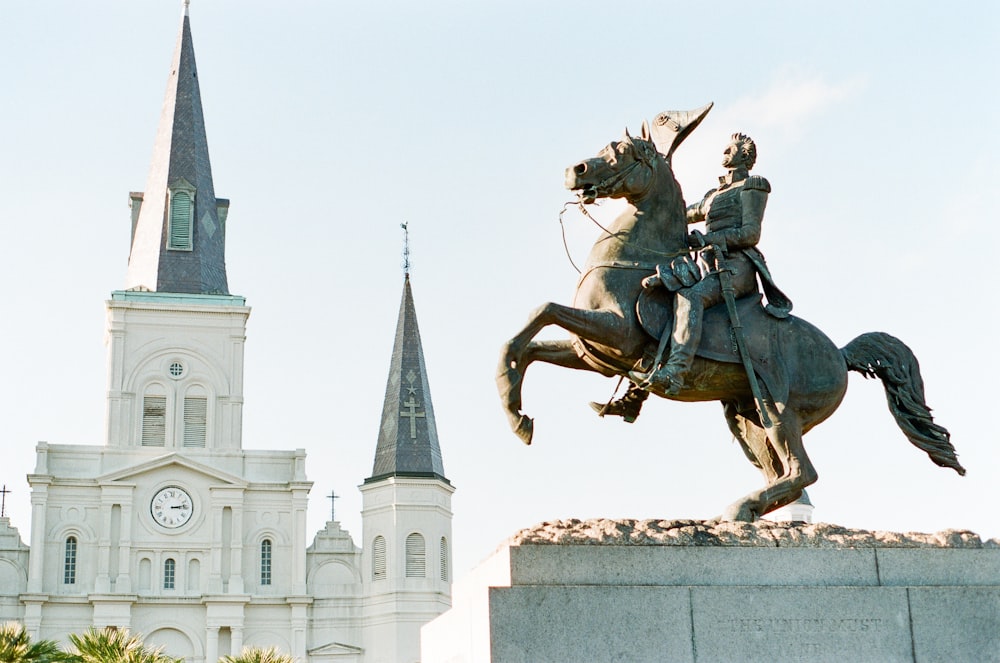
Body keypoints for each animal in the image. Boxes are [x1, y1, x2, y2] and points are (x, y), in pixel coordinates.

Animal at [498, 105, 960, 524]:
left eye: (625, 151)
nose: (574, 170)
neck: (635, 258)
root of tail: (840, 353)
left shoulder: (618, 335)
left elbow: (542, 311)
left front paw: (515, 411)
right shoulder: (591, 353)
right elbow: (526, 344)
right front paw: (517, 415)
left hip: (780, 410)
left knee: (802, 471)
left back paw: (740, 508)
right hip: (747, 417)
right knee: (783, 472)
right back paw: (747, 513)